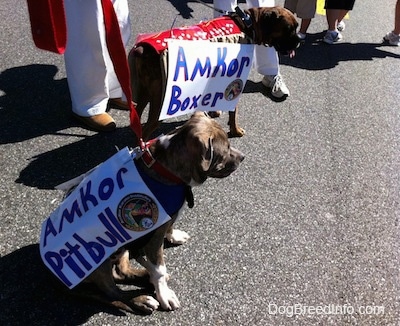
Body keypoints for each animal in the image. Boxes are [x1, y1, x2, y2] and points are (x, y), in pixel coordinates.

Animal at [71, 112, 244, 314]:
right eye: (226, 149)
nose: (243, 157)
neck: (168, 169)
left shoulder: (167, 218)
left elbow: (170, 227)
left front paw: (174, 236)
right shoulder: (153, 239)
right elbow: (159, 269)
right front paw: (164, 294)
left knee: (121, 271)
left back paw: (145, 276)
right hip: (98, 260)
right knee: (111, 292)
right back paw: (141, 300)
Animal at [129, 5, 300, 139]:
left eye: (296, 27)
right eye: (288, 29)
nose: (300, 40)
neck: (248, 24)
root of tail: (143, 48)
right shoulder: (235, 80)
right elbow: (233, 111)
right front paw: (235, 130)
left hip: (144, 92)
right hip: (160, 100)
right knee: (146, 129)